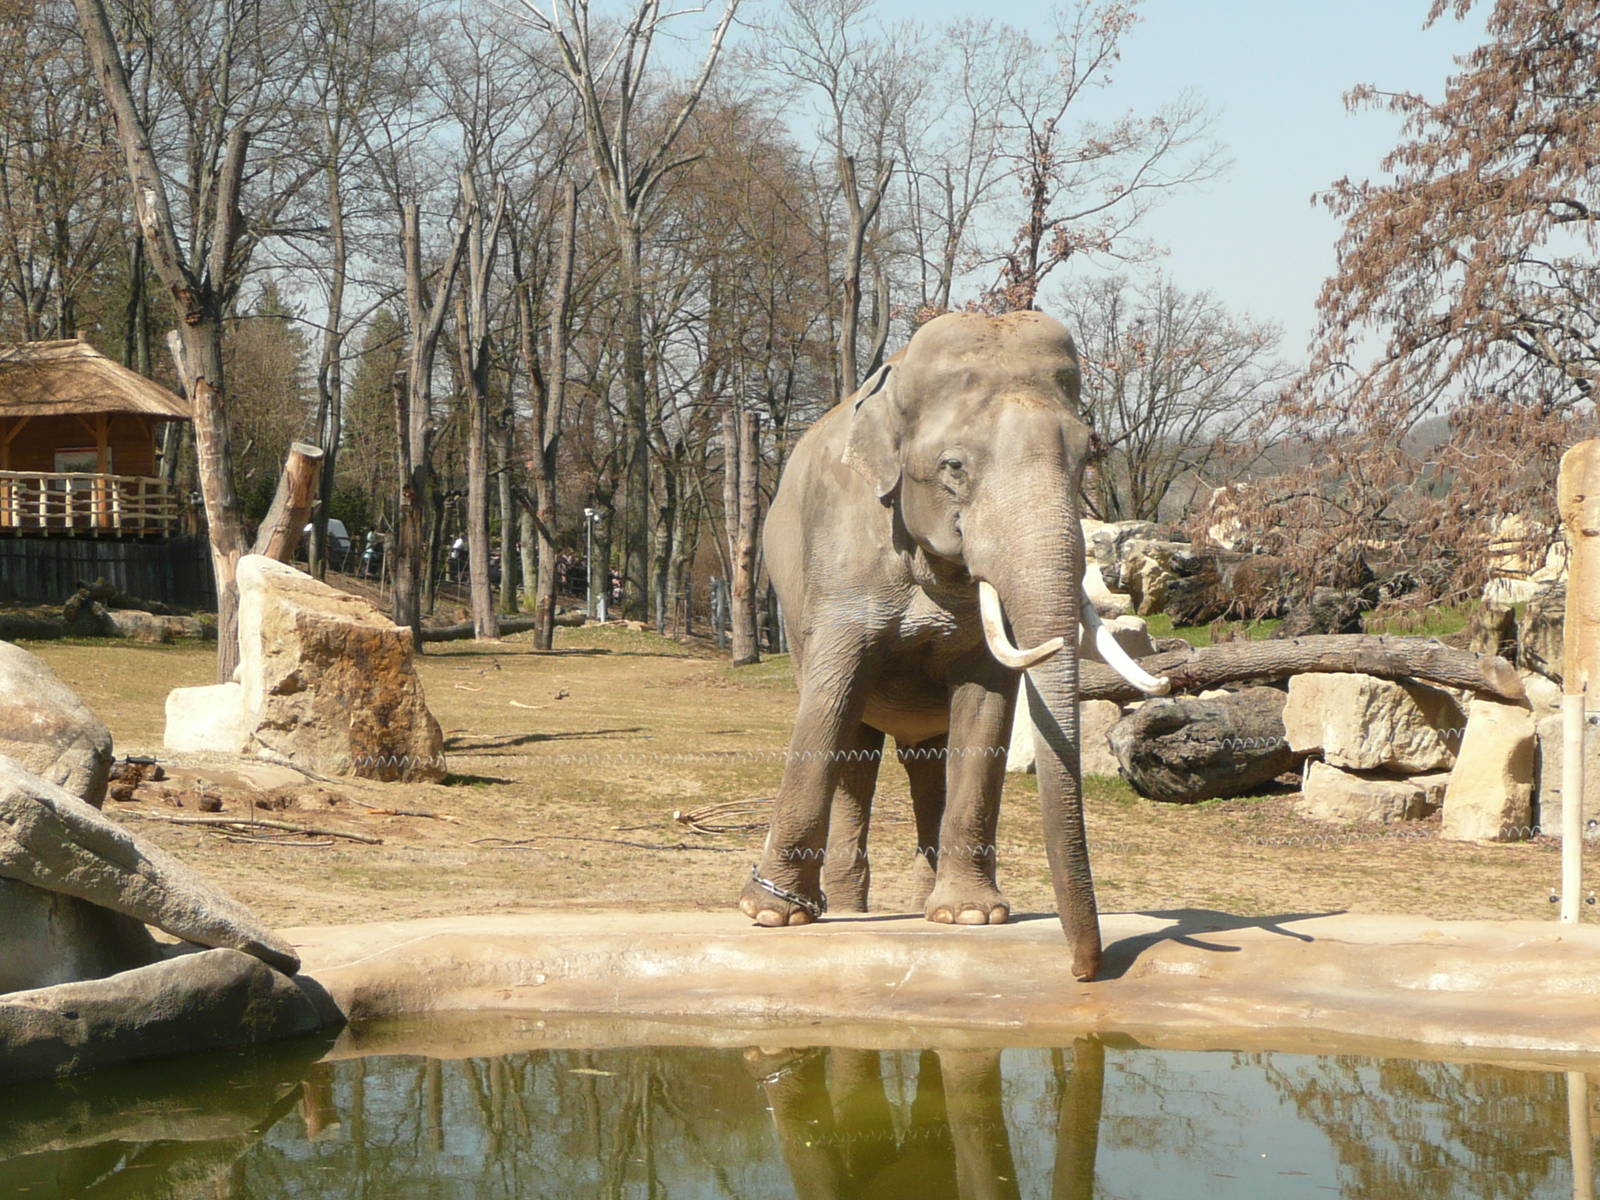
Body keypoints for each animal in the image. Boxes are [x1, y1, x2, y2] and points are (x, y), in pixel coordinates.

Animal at [739, 310, 1167, 982]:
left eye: (1082, 459)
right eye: (954, 467)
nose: (1085, 973)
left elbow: (986, 705)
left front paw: (971, 916)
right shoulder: (841, 557)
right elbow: (830, 701)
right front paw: (770, 914)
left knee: (927, 760)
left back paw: (924, 902)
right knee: (856, 749)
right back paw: (850, 908)